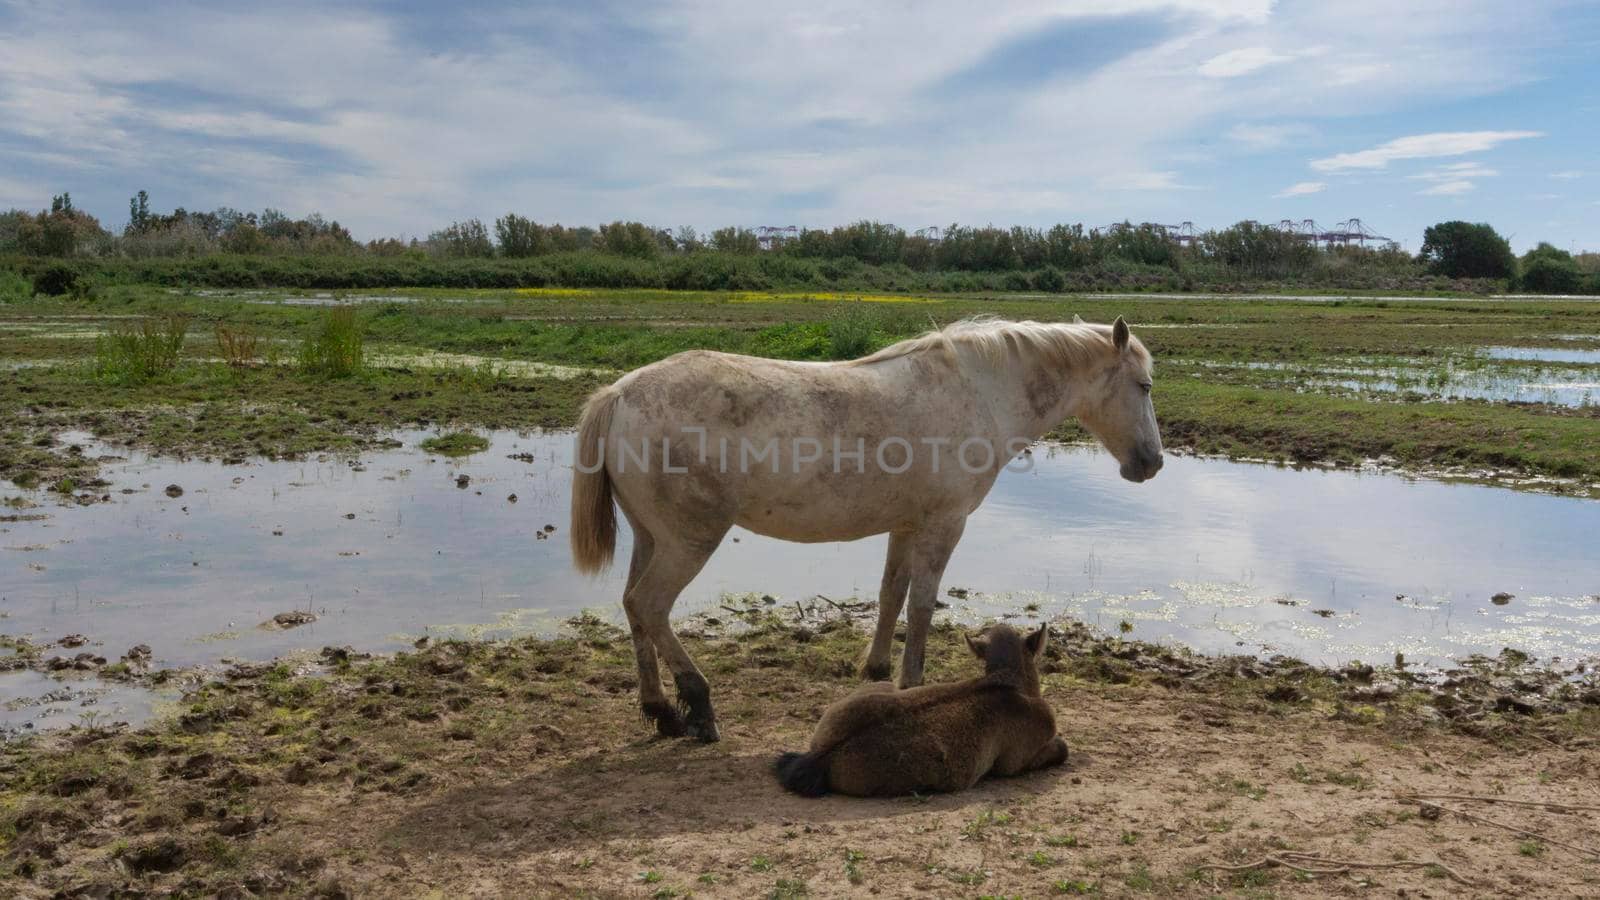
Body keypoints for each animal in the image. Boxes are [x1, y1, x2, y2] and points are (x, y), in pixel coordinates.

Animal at [569, 318, 1158, 739]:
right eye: (1145, 385)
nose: (1150, 464)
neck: (979, 393)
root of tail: (620, 393)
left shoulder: (906, 526)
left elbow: (891, 593)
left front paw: (875, 670)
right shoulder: (944, 525)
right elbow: (922, 605)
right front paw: (911, 681)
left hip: (652, 538)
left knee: (633, 608)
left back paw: (661, 711)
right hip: (689, 541)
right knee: (650, 606)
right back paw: (698, 706)